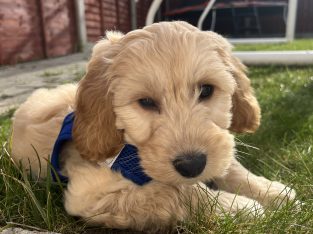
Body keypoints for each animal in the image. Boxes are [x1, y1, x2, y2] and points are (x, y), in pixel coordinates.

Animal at [11, 22, 294, 232]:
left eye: (206, 90)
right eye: (146, 102)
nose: (192, 165)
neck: (128, 149)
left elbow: (230, 167)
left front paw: (274, 193)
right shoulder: (89, 194)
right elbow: (176, 191)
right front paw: (243, 208)